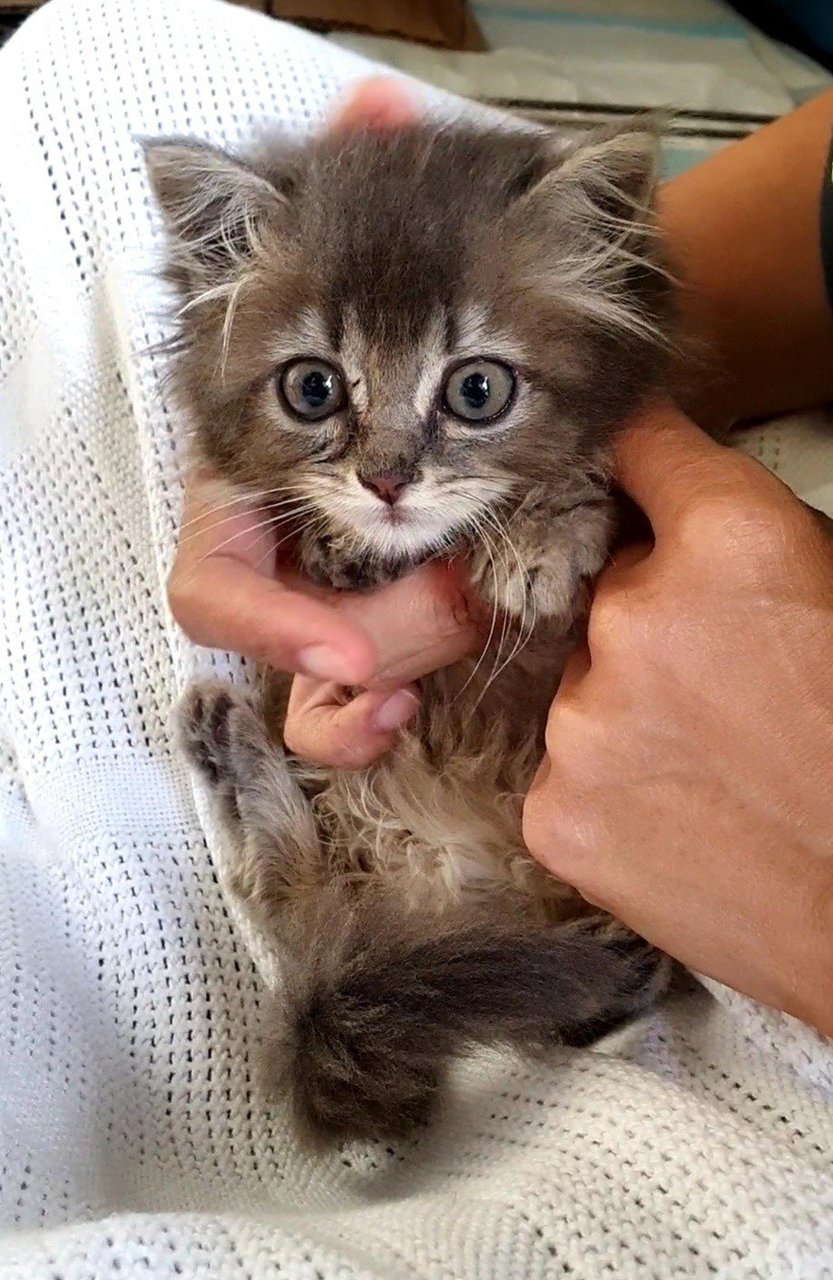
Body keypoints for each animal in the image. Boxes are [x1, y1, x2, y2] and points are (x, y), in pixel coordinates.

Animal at [143, 115, 675, 1146]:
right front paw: (341, 545)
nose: (385, 481)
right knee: (301, 914)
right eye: (312, 390)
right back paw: (236, 766)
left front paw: (541, 531)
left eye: (477, 391)